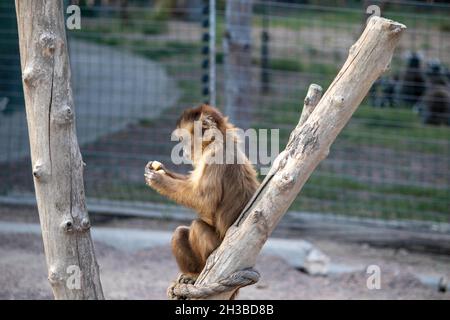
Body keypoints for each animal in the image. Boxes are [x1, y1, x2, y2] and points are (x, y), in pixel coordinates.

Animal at [142, 104, 258, 282]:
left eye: (184, 140)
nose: (183, 151)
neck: (220, 140)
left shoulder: (214, 154)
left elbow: (204, 201)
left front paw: (158, 180)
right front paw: (160, 169)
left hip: (217, 248)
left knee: (197, 226)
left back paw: (198, 273)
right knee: (180, 232)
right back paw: (193, 273)